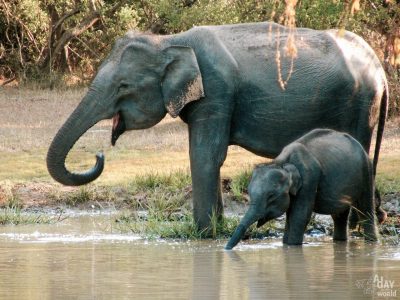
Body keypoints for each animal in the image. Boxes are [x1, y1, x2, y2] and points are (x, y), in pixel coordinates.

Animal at [47, 22, 388, 231]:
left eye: (123, 86)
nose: (99, 154)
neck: (171, 41)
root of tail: (380, 69)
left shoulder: (217, 91)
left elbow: (205, 155)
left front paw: (204, 234)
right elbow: (208, 155)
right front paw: (215, 229)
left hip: (360, 104)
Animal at [227, 129, 380, 248]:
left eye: (271, 196)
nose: (226, 249)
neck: (282, 163)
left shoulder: (309, 179)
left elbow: (300, 214)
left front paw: (293, 246)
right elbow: (290, 215)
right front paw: (285, 244)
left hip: (366, 171)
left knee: (366, 209)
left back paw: (372, 242)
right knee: (339, 215)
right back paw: (340, 241)